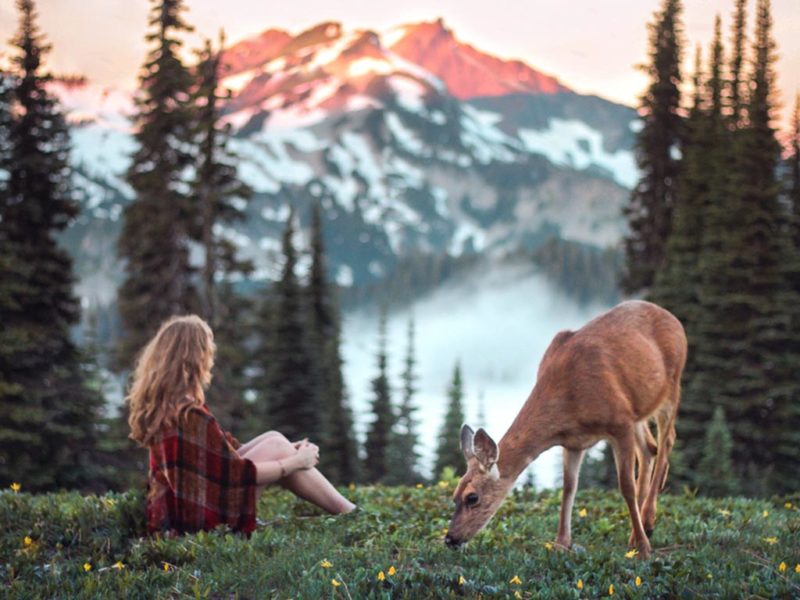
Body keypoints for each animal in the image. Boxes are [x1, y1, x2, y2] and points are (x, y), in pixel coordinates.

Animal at [444, 300, 687, 559]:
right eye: (454, 495)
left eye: (472, 497)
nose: (450, 539)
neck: (569, 402)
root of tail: (673, 319)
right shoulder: (574, 442)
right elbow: (569, 488)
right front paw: (561, 543)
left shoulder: (620, 422)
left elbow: (625, 486)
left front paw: (643, 548)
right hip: (639, 409)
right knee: (649, 448)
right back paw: (637, 528)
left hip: (671, 386)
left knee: (667, 441)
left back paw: (647, 522)